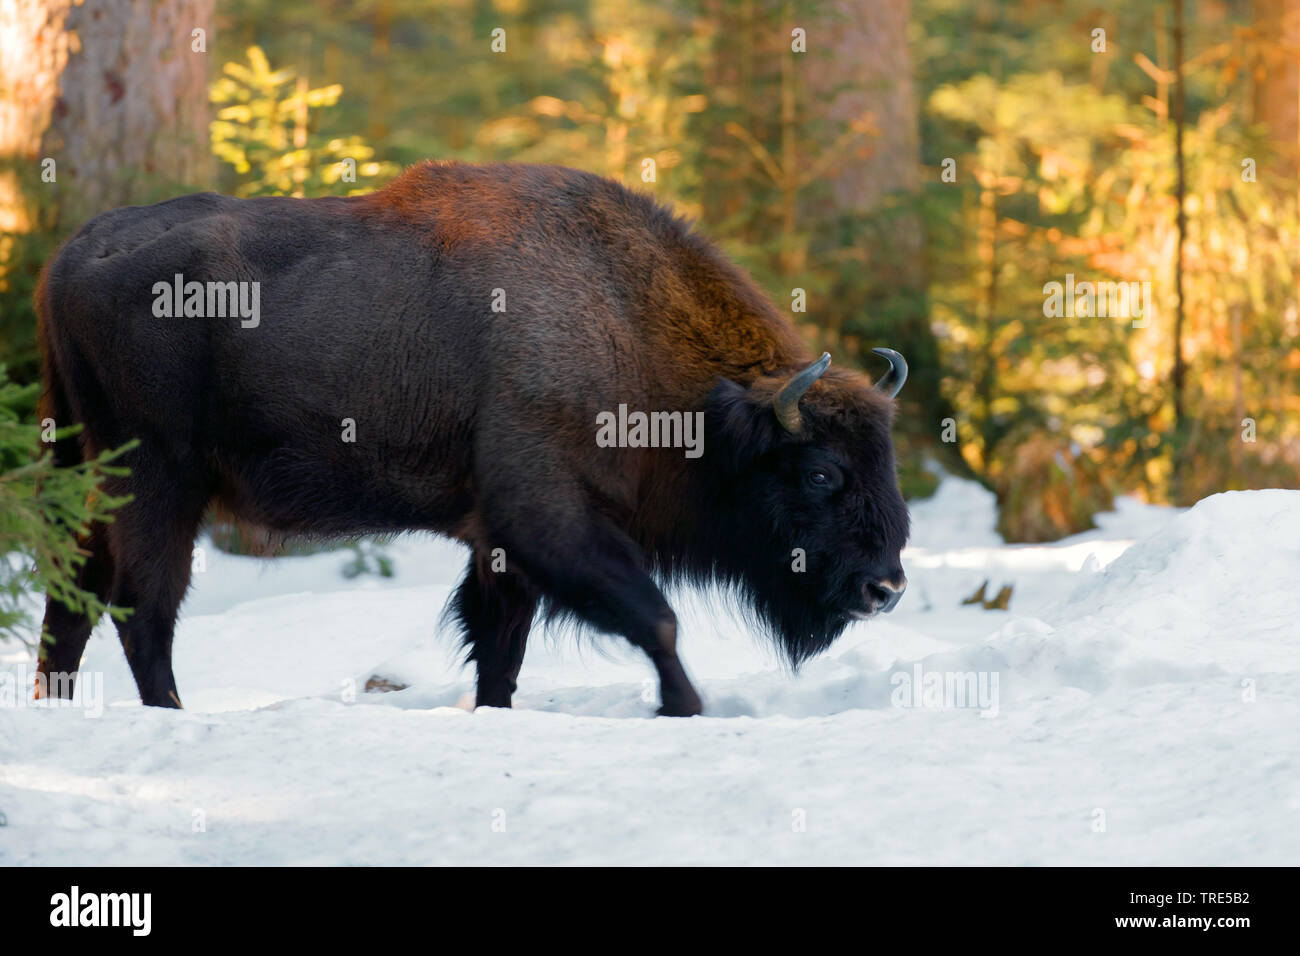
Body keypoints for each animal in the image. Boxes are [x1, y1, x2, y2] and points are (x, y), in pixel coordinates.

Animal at [35, 160, 909, 717]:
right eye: (822, 473)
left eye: (886, 462)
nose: (886, 587)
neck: (625, 326)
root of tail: (70, 256)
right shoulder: (546, 516)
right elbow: (651, 617)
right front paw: (687, 708)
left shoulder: (499, 543)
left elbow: (500, 644)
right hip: (157, 482)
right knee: (142, 606)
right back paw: (170, 713)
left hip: (88, 476)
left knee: (71, 601)